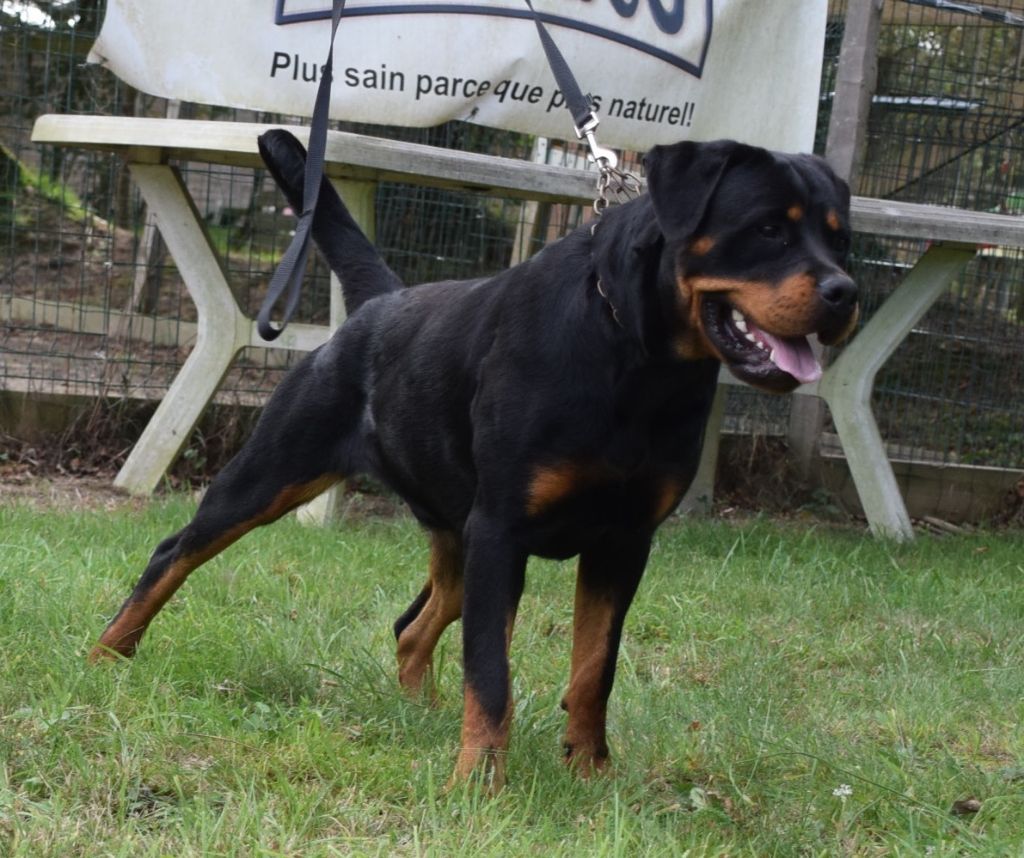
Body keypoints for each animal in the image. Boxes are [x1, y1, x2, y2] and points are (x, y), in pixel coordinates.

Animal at [90, 133, 856, 794]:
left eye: (840, 236)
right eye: (767, 229)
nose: (845, 292)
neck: (636, 362)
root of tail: (379, 303)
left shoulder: (622, 542)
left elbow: (594, 667)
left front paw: (590, 772)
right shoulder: (504, 530)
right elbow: (490, 671)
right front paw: (479, 782)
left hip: (457, 536)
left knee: (413, 626)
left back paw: (419, 713)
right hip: (275, 473)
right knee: (174, 551)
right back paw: (108, 655)